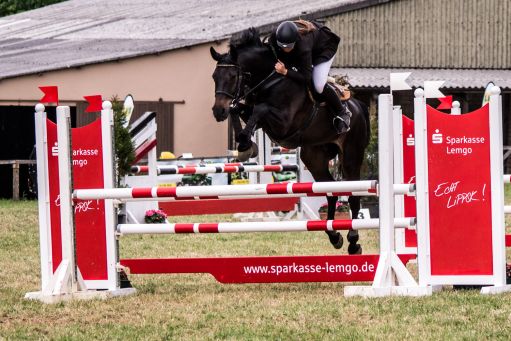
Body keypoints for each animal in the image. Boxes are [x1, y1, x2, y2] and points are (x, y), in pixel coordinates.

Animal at [210, 27, 370, 254]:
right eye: (214, 76)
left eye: (233, 76)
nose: (218, 111)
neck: (269, 81)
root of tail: (359, 106)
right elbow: (240, 111)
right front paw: (245, 146)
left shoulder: (283, 124)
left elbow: (260, 109)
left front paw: (244, 142)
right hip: (314, 157)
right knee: (330, 191)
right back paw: (334, 236)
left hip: (350, 156)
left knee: (353, 194)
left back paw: (353, 241)